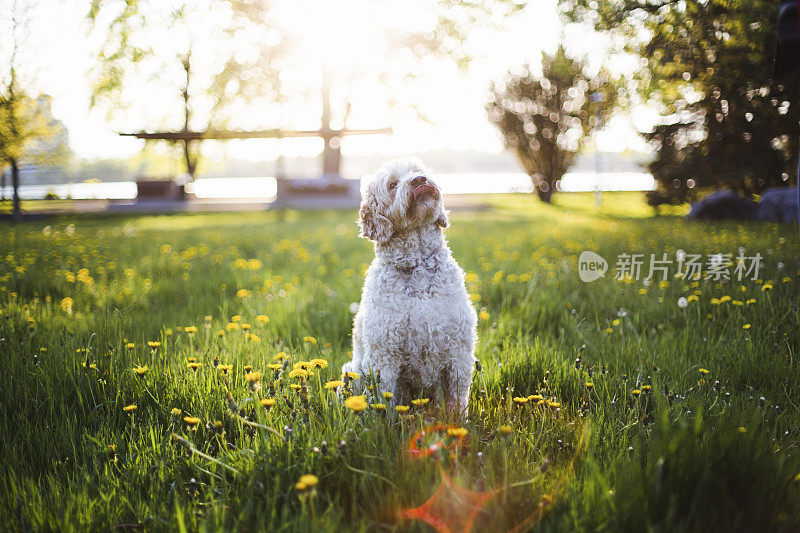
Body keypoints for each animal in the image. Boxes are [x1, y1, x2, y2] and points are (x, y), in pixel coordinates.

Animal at [342, 157, 478, 412]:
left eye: (418, 171)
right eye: (392, 184)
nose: (419, 180)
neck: (417, 267)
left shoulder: (458, 353)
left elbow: (456, 401)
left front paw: (459, 420)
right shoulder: (385, 356)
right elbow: (384, 402)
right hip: (351, 373)